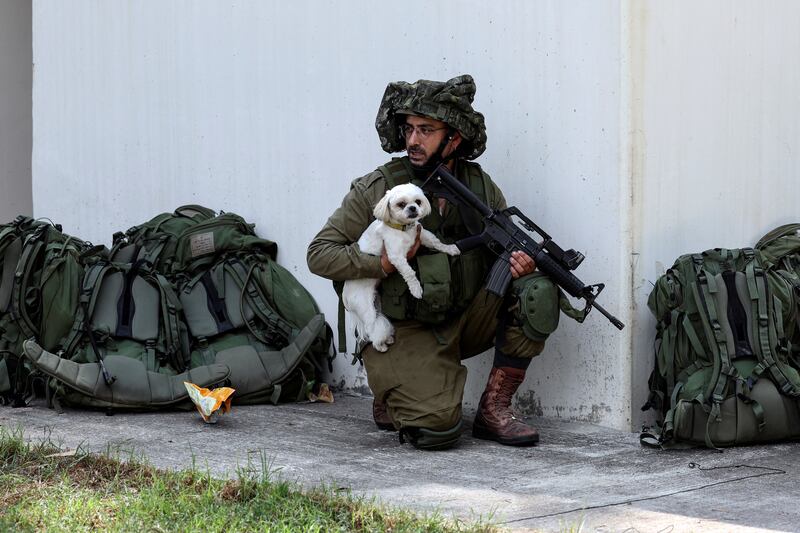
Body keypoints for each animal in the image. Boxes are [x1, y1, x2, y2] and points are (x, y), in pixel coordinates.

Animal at [344, 184, 462, 354]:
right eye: (401, 204)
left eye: (418, 201)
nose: (413, 208)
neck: (403, 228)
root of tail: (345, 297)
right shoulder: (395, 256)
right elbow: (409, 273)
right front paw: (416, 289)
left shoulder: (421, 235)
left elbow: (436, 242)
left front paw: (450, 248)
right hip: (365, 308)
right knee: (371, 328)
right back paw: (380, 345)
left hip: (376, 304)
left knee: (379, 323)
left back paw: (386, 339)